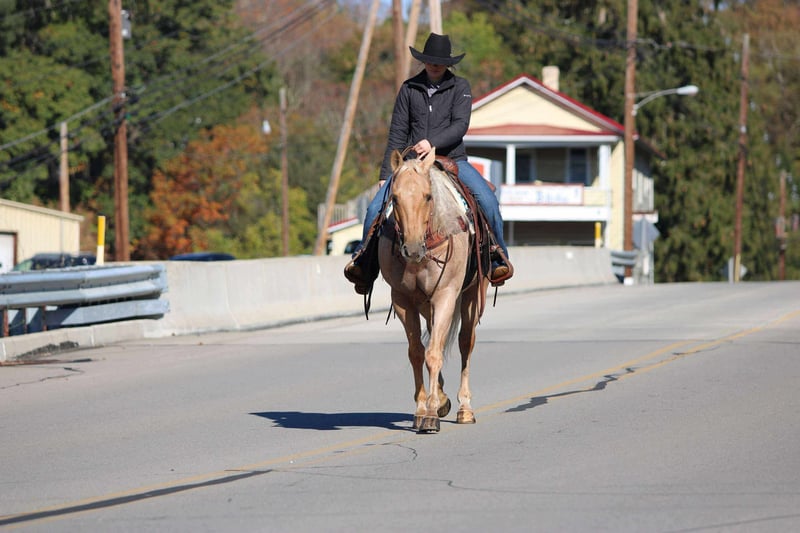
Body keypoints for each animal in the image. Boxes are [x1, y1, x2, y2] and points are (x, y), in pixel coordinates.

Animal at [378, 148, 490, 433]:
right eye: (395, 197)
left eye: (428, 196)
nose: (412, 249)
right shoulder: (403, 300)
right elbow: (417, 352)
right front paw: (423, 409)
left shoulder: (446, 295)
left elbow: (434, 353)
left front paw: (430, 414)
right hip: (426, 305)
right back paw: (441, 398)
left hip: (471, 296)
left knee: (465, 342)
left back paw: (464, 408)